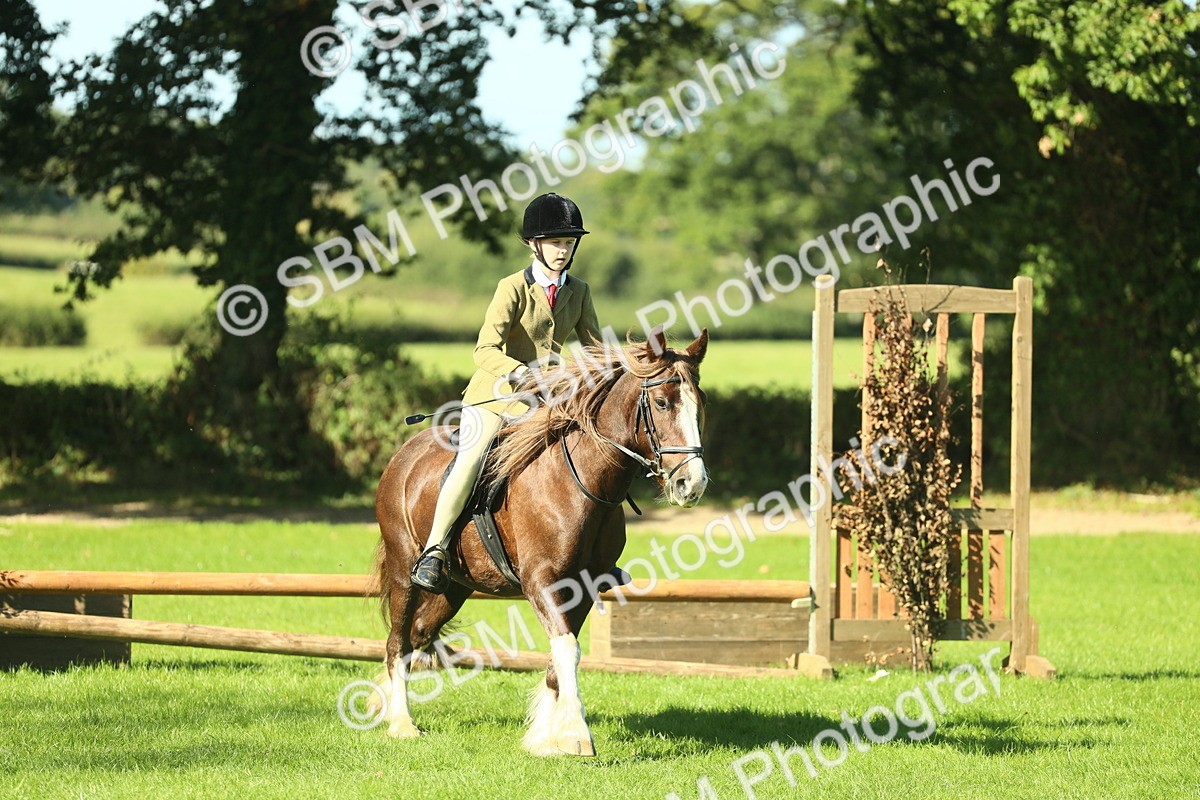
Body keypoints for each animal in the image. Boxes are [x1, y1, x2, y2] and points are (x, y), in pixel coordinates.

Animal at [373, 328, 709, 756]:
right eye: (663, 403)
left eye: (700, 405)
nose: (691, 485)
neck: (583, 480)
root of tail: (404, 453)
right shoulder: (541, 581)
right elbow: (566, 648)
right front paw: (576, 735)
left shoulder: (585, 584)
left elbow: (561, 653)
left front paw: (544, 738)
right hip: (404, 568)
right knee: (398, 642)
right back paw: (401, 722)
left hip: (455, 587)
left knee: (418, 634)